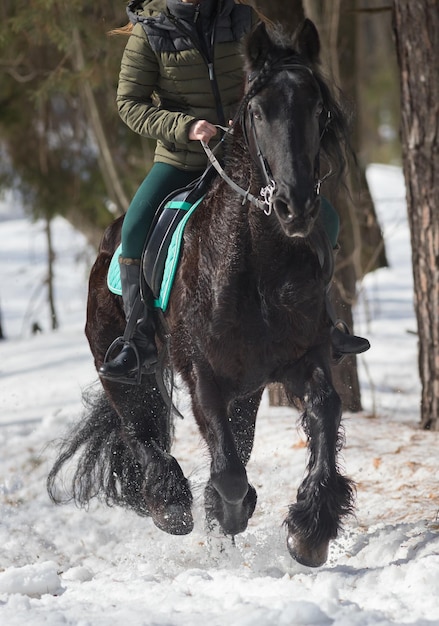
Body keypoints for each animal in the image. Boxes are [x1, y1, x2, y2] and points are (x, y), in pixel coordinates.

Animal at [48, 19, 356, 564]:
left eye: (318, 109)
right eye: (258, 111)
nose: (296, 206)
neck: (256, 269)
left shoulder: (305, 357)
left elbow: (324, 411)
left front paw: (310, 527)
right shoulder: (203, 376)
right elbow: (228, 472)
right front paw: (224, 512)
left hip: (249, 389)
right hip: (117, 366)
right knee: (139, 428)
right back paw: (170, 505)